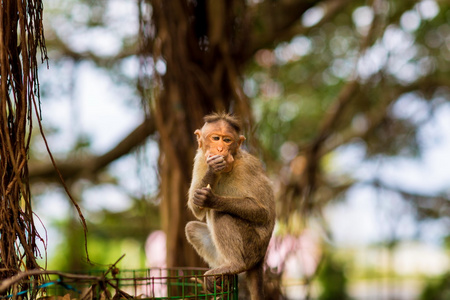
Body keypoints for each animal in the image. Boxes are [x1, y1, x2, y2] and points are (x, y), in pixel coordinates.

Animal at [185, 111, 276, 298]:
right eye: (215, 138)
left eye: (227, 140)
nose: (220, 149)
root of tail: (261, 256)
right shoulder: (200, 159)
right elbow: (195, 206)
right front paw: (213, 170)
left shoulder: (247, 167)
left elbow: (264, 212)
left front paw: (212, 199)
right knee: (191, 227)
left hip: (251, 247)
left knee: (220, 213)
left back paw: (235, 265)